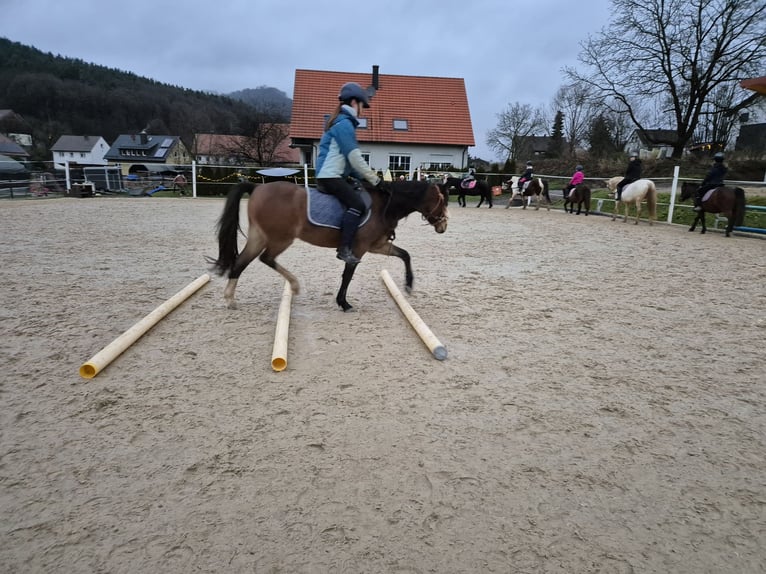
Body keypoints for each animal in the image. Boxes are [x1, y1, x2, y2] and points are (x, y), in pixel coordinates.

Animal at [209, 179, 449, 312]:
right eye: (442, 201)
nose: (444, 226)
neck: (384, 205)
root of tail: (258, 187)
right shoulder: (358, 249)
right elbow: (348, 275)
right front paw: (343, 303)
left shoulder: (377, 245)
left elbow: (405, 255)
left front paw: (409, 285)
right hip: (280, 238)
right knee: (263, 258)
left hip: (260, 236)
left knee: (243, 261)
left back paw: (232, 298)